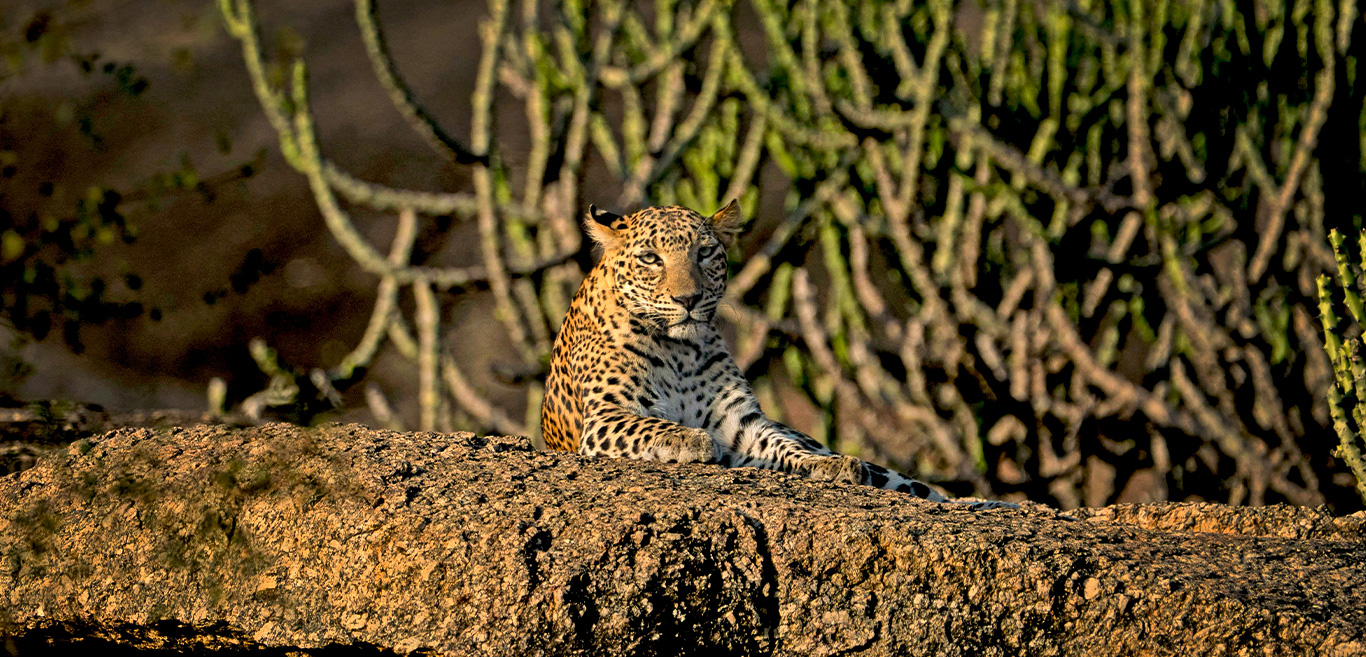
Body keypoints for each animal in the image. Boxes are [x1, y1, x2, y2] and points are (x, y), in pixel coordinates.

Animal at [541, 201, 1015, 508]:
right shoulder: (605, 417)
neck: (679, 350)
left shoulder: (743, 426)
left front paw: (832, 466)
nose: (688, 299)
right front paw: (690, 439)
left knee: (923, 490)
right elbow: (651, 426)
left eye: (705, 253)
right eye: (650, 258)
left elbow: (785, 447)